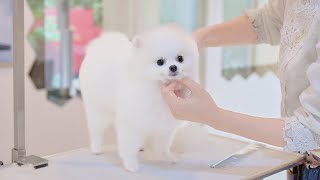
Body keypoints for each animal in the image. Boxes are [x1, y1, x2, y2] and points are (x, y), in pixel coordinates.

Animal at [79, 24, 199, 172]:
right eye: (160, 61)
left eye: (180, 58)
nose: (173, 67)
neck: (155, 88)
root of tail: (99, 45)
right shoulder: (131, 122)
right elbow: (128, 146)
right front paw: (131, 164)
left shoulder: (164, 124)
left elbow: (163, 145)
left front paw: (166, 156)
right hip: (98, 109)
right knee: (96, 130)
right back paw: (96, 148)